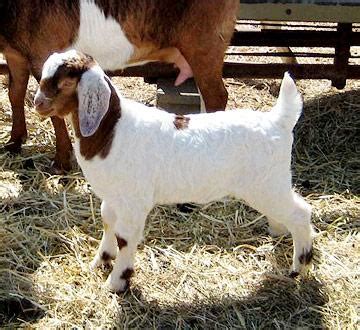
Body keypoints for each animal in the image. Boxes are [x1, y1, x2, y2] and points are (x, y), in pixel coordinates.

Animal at [0, 0, 239, 173]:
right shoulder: (15, 54)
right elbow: (15, 93)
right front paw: (14, 142)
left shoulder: (44, 52)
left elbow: (54, 111)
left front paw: (61, 163)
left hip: (205, 43)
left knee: (216, 96)